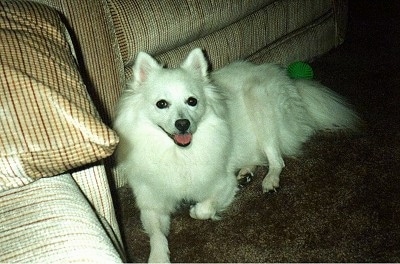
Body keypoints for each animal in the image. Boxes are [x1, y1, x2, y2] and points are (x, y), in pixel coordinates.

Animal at [113, 48, 360, 262]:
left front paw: (196, 210)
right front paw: (158, 258)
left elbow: (203, 208)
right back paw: (246, 173)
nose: (183, 124)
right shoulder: (152, 203)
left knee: (276, 159)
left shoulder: (222, 184)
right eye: (161, 104)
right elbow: (156, 236)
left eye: (192, 101)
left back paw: (269, 180)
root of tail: (290, 83)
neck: (179, 154)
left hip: (260, 107)